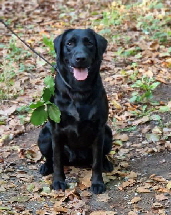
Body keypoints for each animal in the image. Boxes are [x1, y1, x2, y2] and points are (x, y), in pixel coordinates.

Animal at [38, 27, 113, 194]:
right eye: (69, 43)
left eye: (89, 43)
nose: (80, 58)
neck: (79, 91)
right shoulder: (56, 131)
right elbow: (57, 160)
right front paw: (58, 181)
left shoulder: (99, 129)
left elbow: (96, 162)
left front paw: (97, 183)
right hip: (44, 135)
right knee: (50, 157)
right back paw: (46, 167)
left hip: (108, 133)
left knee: (101, 156)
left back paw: (106, 163)